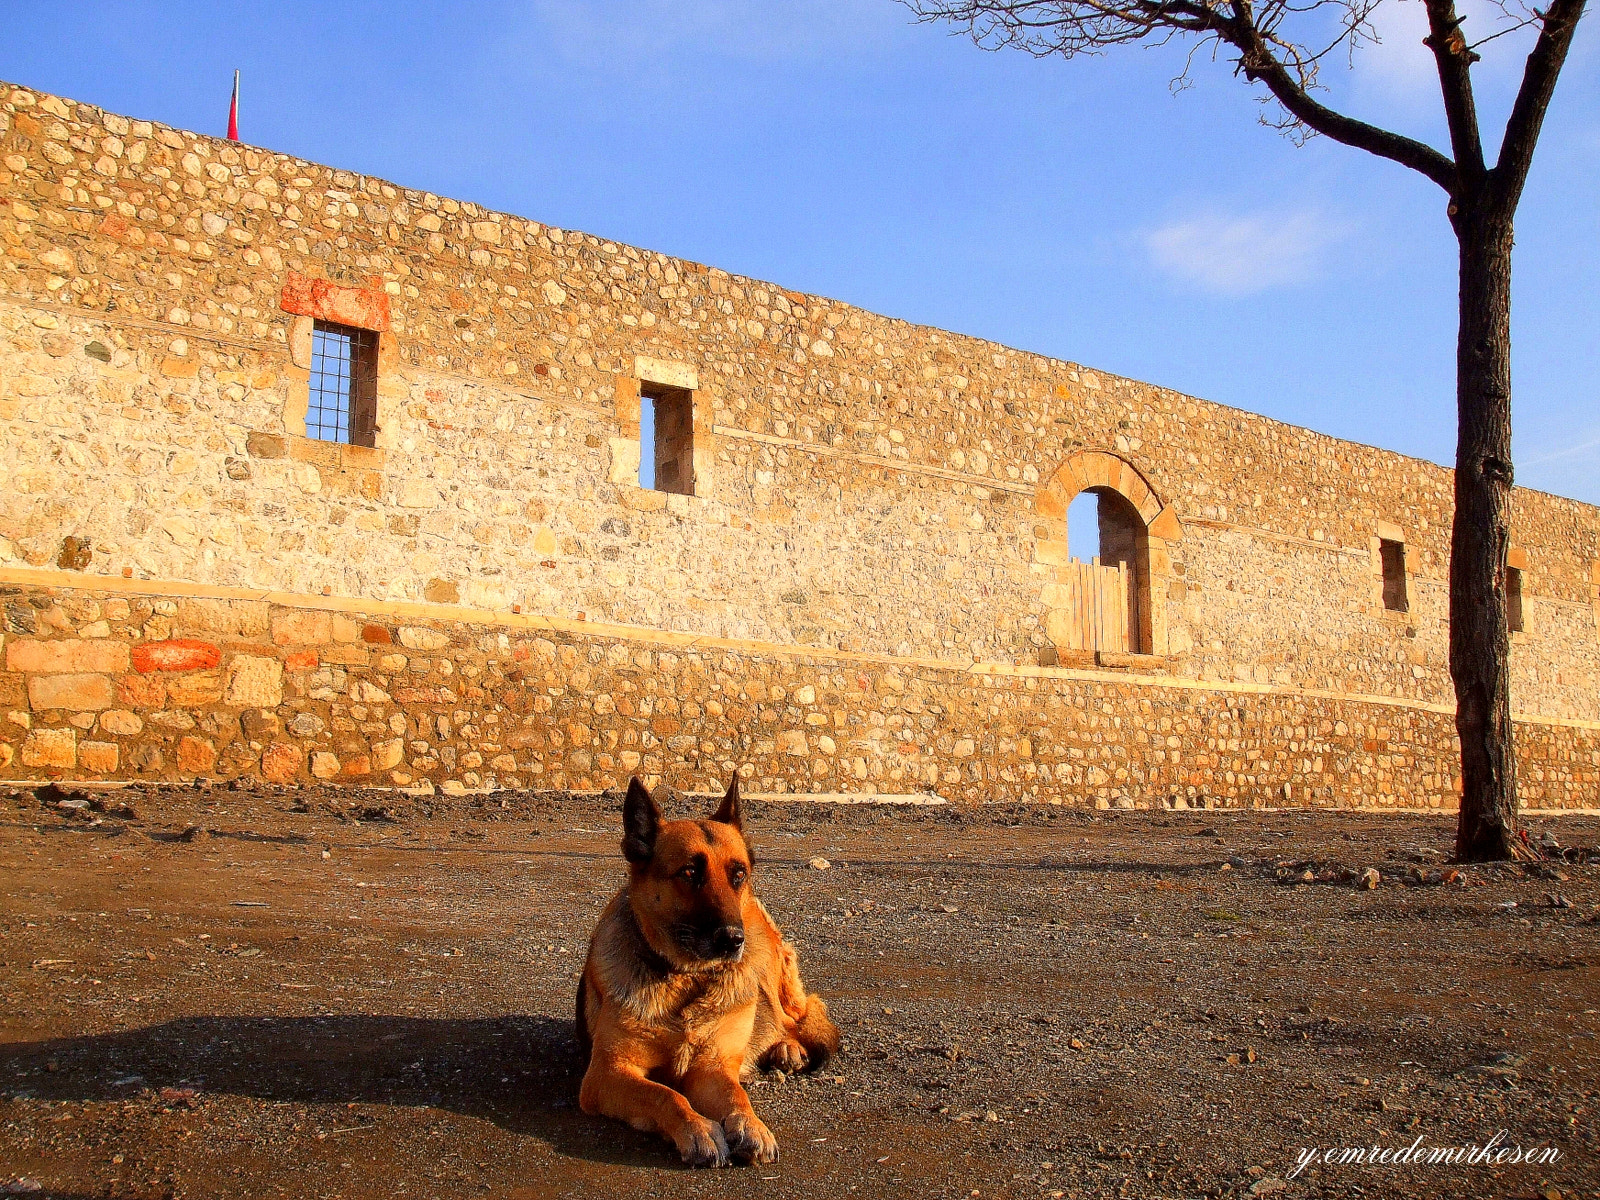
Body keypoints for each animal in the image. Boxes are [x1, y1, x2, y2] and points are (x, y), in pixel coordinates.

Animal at [582, 780, 844, 1164]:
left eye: (739, 874)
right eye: (690, 873)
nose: (732, 940)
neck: (687, 980)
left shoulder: (713, 1068)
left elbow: (737, 1096)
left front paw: (752, 1126)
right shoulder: (608, 1073)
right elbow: (665, 1094)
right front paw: (698, 1129)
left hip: (764, 963)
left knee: (796, 1016)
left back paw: (787, 1048)